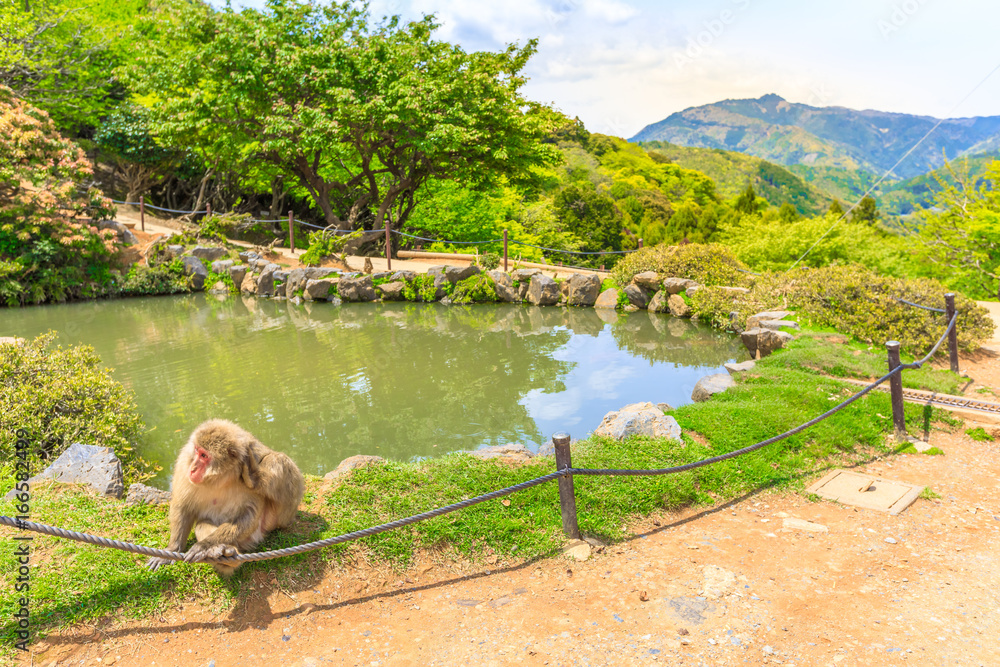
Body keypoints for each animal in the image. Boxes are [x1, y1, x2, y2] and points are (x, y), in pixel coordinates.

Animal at [146, 419, 306, 576]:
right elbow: (182, 507)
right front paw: (172, 549)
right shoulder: (184, 464)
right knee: (202, 524)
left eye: (204, 456)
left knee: (278, 459)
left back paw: (253, 478)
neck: (220, 477)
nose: (193, 468)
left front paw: (204, 545)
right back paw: (222, 552)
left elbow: (250, 513)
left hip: (277, 520)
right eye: (197, 450)